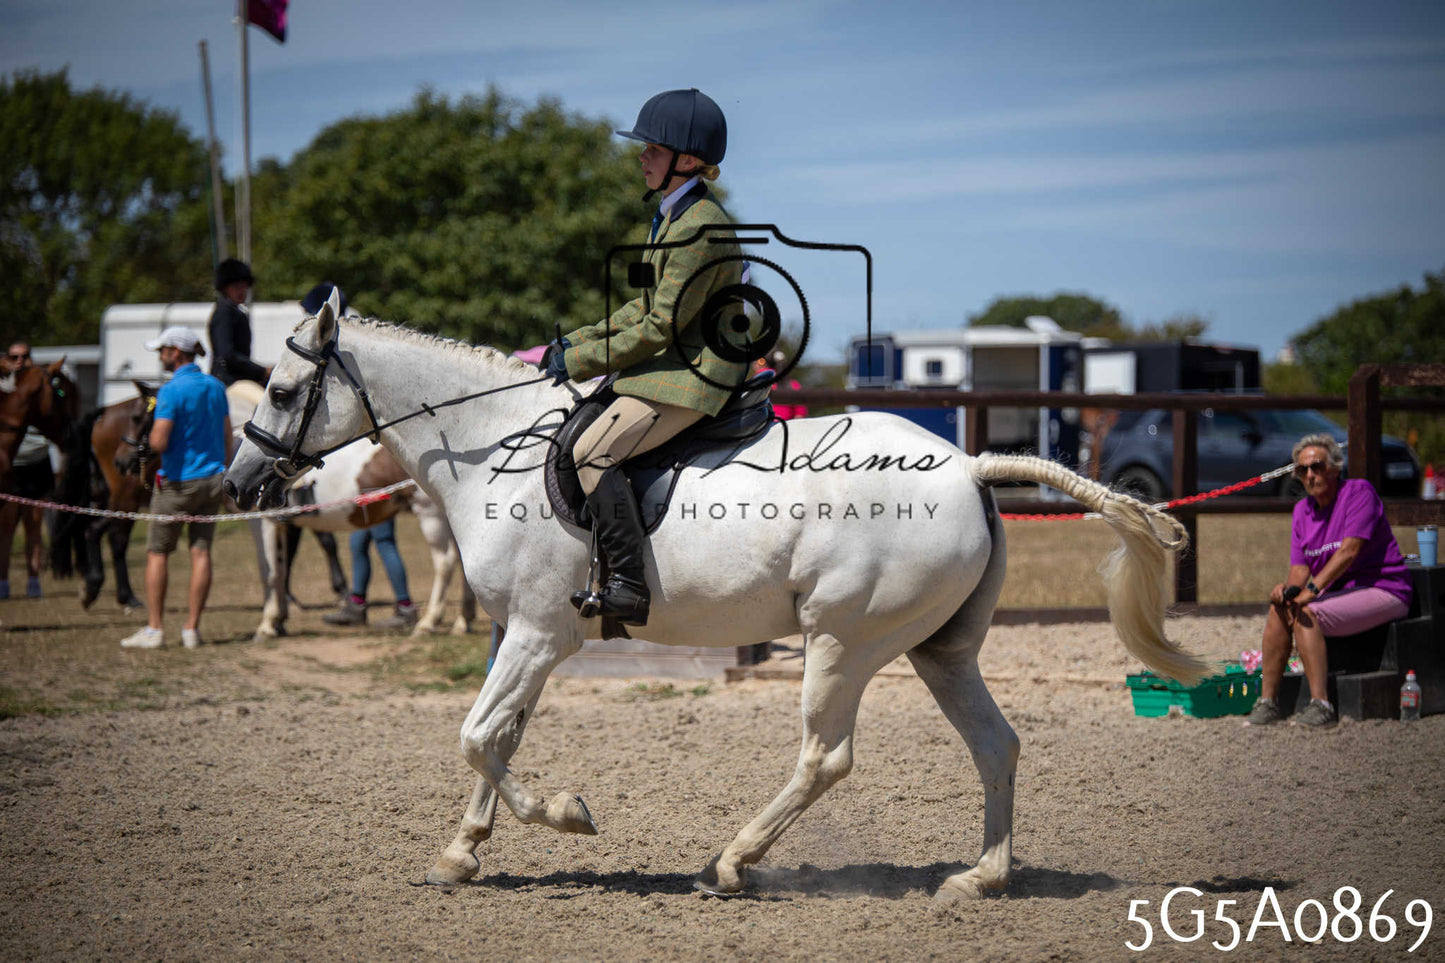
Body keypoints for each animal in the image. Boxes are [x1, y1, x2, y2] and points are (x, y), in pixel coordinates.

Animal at [227, 382, 475, 641]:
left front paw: (267, 625)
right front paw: (279, 620)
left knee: (445, 561)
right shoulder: (283, 525)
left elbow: (269, 570)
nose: (232, 485)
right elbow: (281, 565)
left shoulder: (262, 522)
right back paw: (462, 620)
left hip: (430, 514)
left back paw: (428, 622)